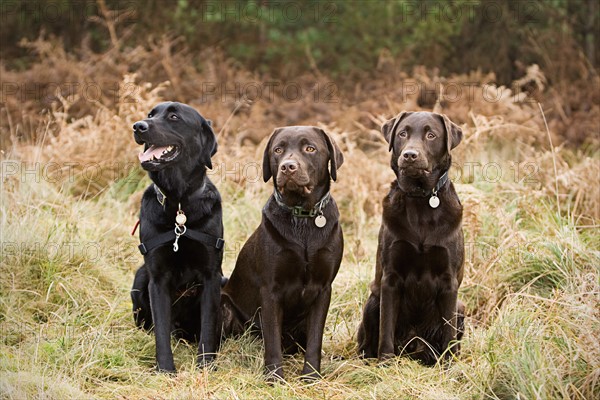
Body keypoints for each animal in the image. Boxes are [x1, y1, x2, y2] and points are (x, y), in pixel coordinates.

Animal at [131, 102, 225, 372]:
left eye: (174, 116)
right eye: (150, 115)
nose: (138, 126)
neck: (179, 204)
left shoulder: (212, 275)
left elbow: (207, 327)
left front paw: (205, 366)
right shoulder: (157, 278)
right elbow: (161, 330)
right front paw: (165, 369)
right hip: (140, 278)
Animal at [221, 126, 344, 382]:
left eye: (310, 148)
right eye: (278, 150)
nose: (288, 167)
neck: (302, 216)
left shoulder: (323, 288)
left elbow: (315, 340)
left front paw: (311, 377)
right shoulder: (270, 290)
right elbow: (272, 341)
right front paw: (275, 377)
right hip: (224, 306)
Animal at [358, 111, 466, 364]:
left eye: (431, 135)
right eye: (402, 134)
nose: (409, 155)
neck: (420, 200)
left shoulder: (449, 282)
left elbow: (448, 332)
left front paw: (449, 364)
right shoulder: (390, 279)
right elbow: (386, 328)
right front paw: (385, 362)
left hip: (461, 307)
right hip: (372, 300)